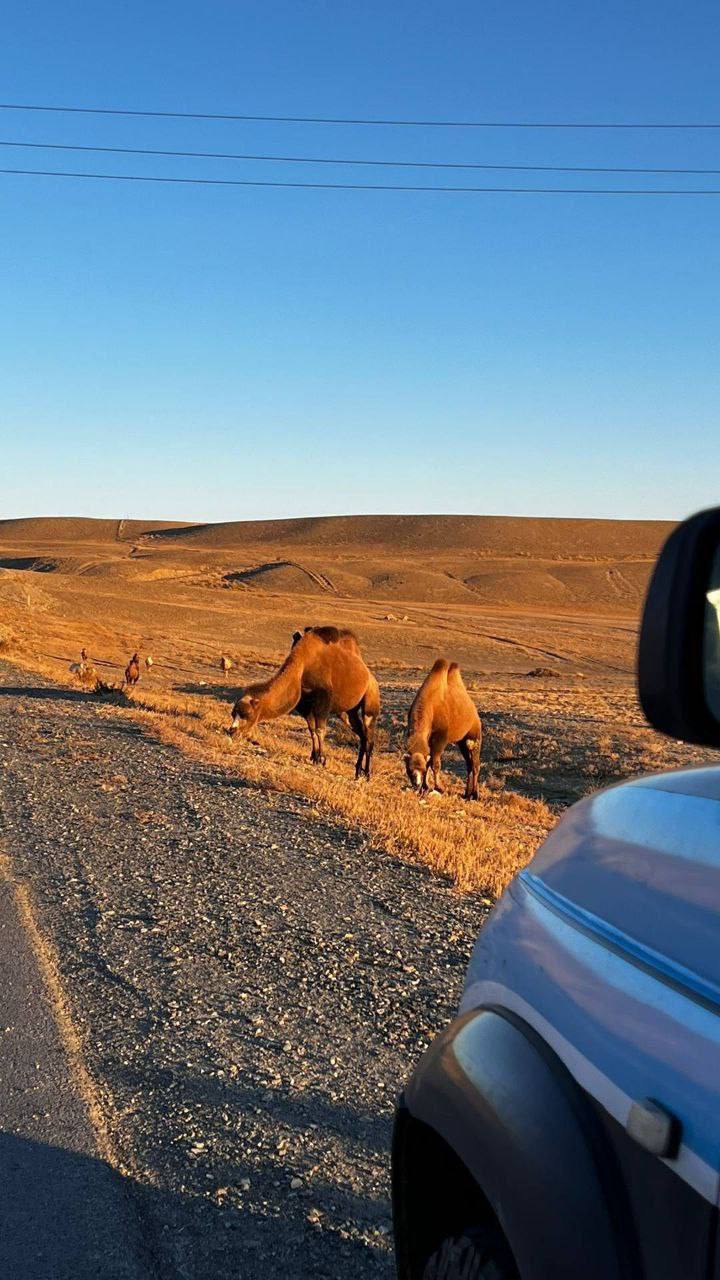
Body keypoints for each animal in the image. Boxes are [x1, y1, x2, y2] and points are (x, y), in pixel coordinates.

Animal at [226, 622, 379, 773]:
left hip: (371, 699)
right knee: (362, 735)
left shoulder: (323, 702)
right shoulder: (305, 706)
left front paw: (322, 759)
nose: (232, 731)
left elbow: (320, 730)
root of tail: (370, 677)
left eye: (247, 714)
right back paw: (357, 771)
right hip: (347, 712)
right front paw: (314, 757)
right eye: (233, 714)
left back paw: (367, 773)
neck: (302, 665)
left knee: (369, 735)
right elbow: (312, 730)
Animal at [399, 660, 479, 798]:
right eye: (409, 769)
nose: (416, 785)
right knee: (469, 764)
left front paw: (439, 787)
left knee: (475, 764)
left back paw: (475, 794)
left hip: (474, 734)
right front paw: (425, 787)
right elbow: (429, 761)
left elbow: (434, 764)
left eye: (421, 770)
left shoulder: (440, 738)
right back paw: (466, 794)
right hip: (461, 742)